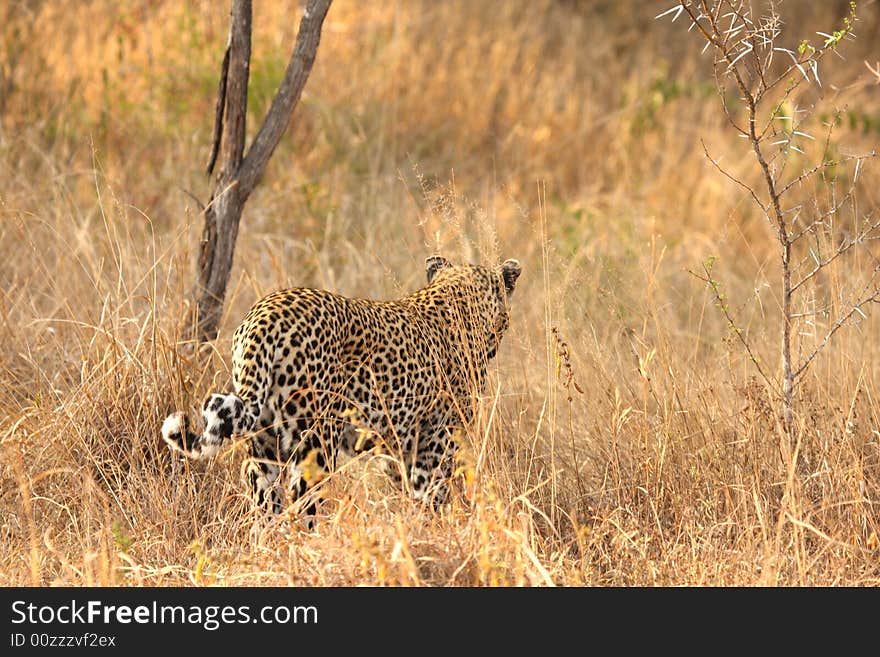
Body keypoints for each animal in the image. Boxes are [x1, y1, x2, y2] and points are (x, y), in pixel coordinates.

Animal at [161, 256, 520, 516]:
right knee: (303, 503)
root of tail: (265, 314)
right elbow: (433, 495)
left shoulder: (397, 445)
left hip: (263, 441)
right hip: (315, 439)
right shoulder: (437, 440)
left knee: (263, 498)